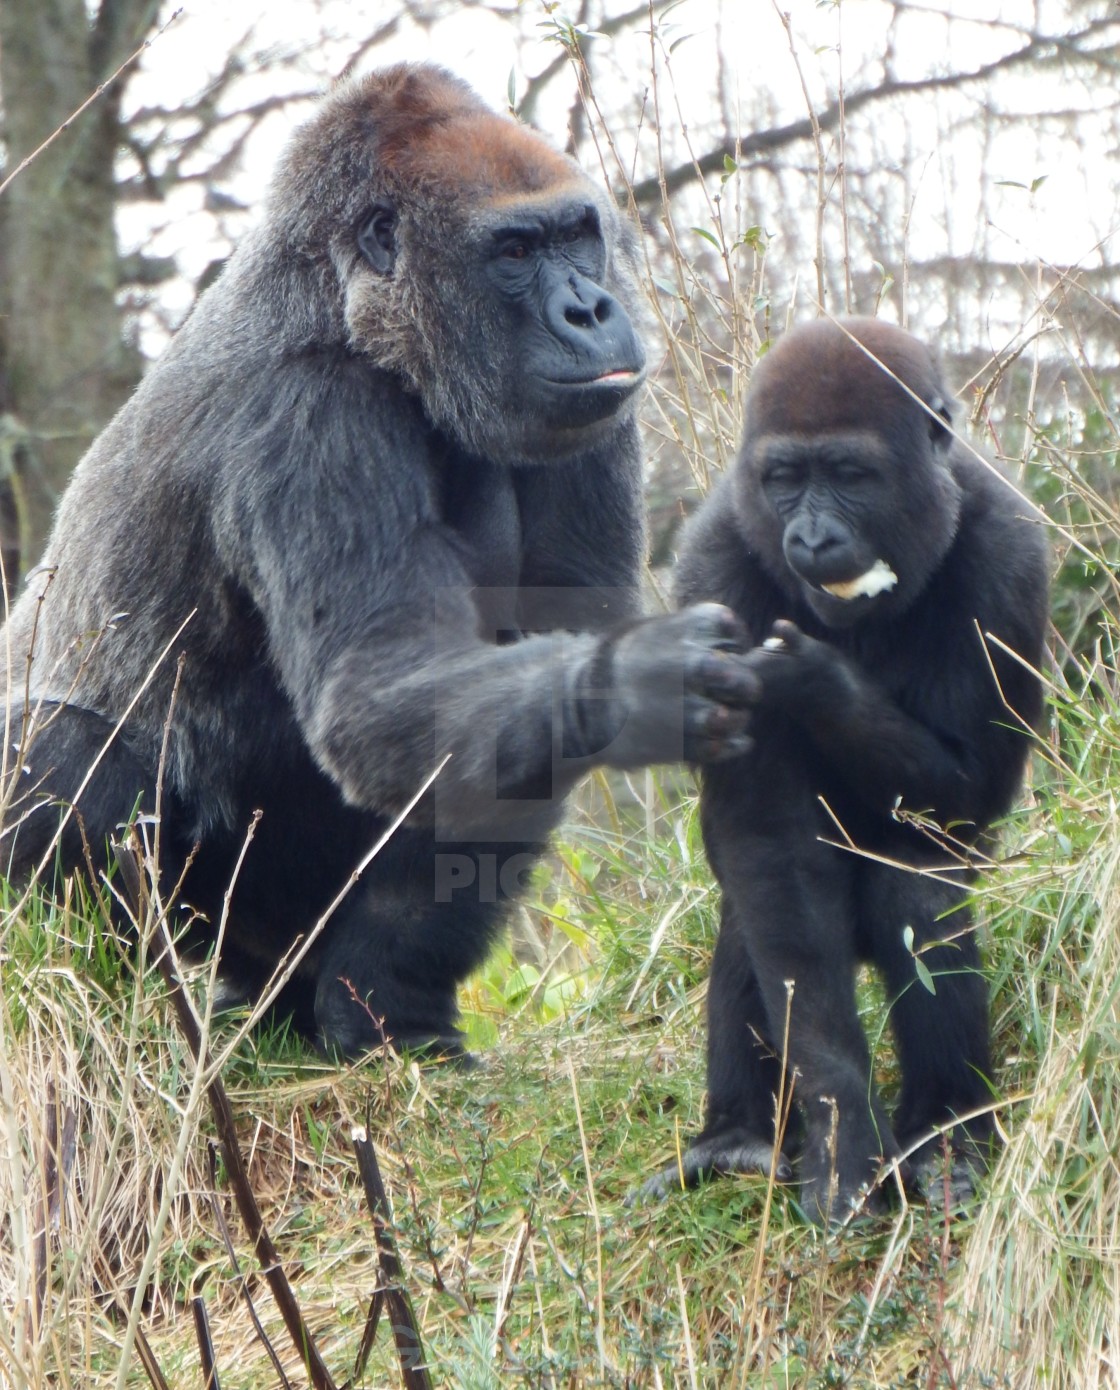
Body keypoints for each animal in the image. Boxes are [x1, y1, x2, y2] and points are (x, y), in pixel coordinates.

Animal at [0, 67, 761, 1050]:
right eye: (516, 251)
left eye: (577, 237)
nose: (592, 310)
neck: (351, 311)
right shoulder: (306, 411)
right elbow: (382, 692)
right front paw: (640, 680)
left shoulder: (590, 412)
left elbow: (505, 701)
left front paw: (392, 1010)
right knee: (60, 751)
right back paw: (131, 1017)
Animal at [650, 315, 1050, 1217]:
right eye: (786, 479)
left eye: (849, 475)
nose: (811, 537)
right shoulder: (712, 560)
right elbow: (766, 845)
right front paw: (840, 1132)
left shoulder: (1012, 552)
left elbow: (965, 790)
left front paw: (814, 680)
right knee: (757, 913)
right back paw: (738, 1135)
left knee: (918, 888)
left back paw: (948, 1136)